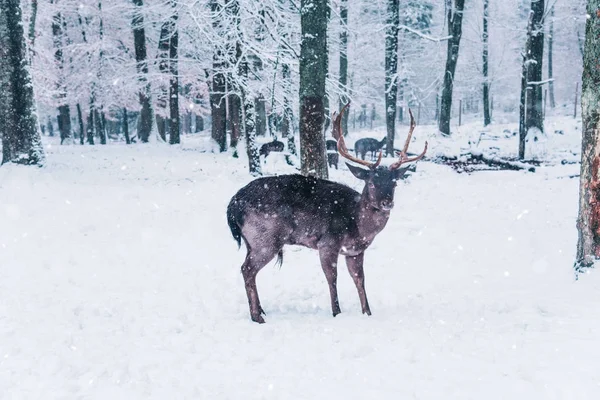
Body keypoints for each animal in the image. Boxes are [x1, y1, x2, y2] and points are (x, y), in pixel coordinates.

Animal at [225, 102, 426, 322]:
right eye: (372, 182)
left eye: (394, 183)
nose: (387, 202)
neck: (357, 226)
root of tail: (232, 206)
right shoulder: (328, 243)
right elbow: (332, 278)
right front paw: (336, 312)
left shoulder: (356, 251)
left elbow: (360, 280)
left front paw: (367, 313)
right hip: (266, 238)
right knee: (247, 269)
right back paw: (257, 317)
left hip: (252, 241)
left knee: (248, 269)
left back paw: (261, 310)